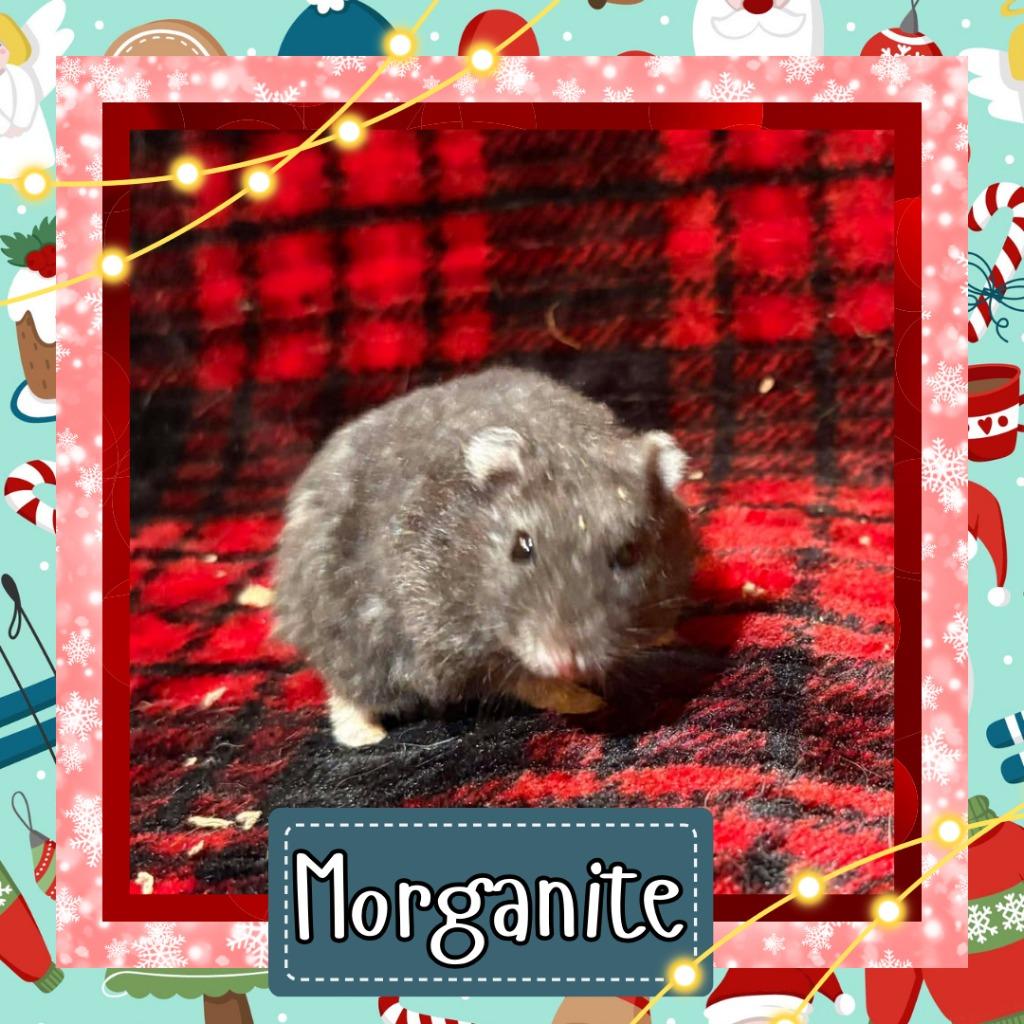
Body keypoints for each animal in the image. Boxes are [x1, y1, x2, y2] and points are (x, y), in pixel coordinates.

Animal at [274, 367, 695, 747]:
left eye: (629, 553)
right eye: (521, 548)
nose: (565, 661)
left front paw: (662, 638)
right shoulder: (447, 646)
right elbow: (525, 682)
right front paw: (586, 700)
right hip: (345, 637)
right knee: (346, 691)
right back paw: (364, 737)